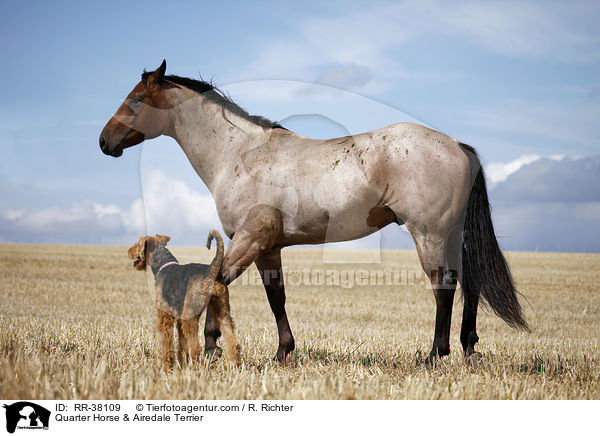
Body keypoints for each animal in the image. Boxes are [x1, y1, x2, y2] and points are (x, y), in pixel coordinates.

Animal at [127, 230, 240, 370]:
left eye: (138, 243)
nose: (128, 251)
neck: (163, 266)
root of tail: (211, 271)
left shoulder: (165, 317)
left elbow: (167, 345)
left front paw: (167, 367)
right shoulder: (179, 320)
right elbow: (182, 347)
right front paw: (181, 366)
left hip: (190, 317)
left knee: (196, 348)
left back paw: (196, 369)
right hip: (221, 311)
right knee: (233, 344)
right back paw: (237, 367)